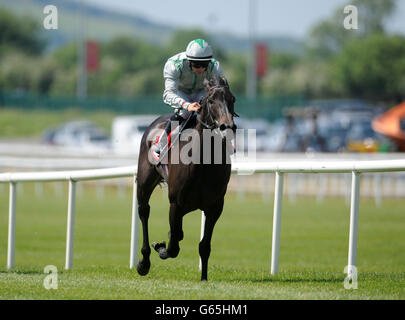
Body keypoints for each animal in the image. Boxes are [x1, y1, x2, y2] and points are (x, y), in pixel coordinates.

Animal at [136, 75, 237, 280]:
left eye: (233, 99)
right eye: (211, 100)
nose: (227, 127)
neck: (203, 164)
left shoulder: (215, 207)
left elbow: (204, 246)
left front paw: (204, 278)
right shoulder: (176, 204)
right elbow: (173, 247)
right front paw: (161, 247)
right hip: (144, 183)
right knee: (144, 211)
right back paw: (144, 262)